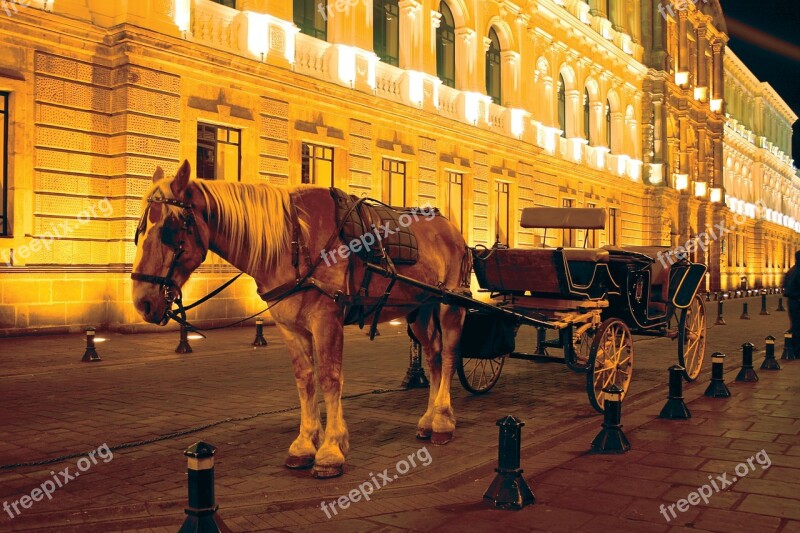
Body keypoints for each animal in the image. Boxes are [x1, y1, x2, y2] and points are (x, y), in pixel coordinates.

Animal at [128, 159, 472, 478]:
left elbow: (330, 379)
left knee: (450, 356)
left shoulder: (327, 320)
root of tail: (452, 230)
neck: (295, 240)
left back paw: (443, 420)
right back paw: (429, 420)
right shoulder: (290, 327)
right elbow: (305, 381)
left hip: (451, 305)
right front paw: (305, 444)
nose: (142, 301)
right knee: (433, 357)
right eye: (138, 232)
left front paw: (331, 449)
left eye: (168, 230)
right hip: (420, 310)